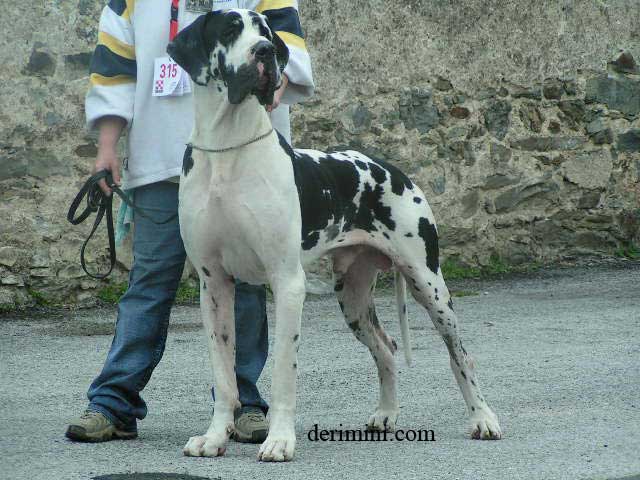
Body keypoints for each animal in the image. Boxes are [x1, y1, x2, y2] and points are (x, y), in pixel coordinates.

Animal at [168, 9, 502, 464]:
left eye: (266, 31)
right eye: (231, 29)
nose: (266, 51)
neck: (228, 148)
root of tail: (390, 166)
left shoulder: (287, 282)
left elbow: (283, 370)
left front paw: (280, 440)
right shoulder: (214, 285)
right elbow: (223, 375)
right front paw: (215, 437)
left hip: (429, 284)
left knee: (460, 354)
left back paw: (483, 418)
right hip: (353, 296)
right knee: (386, 348)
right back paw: (386, 414)